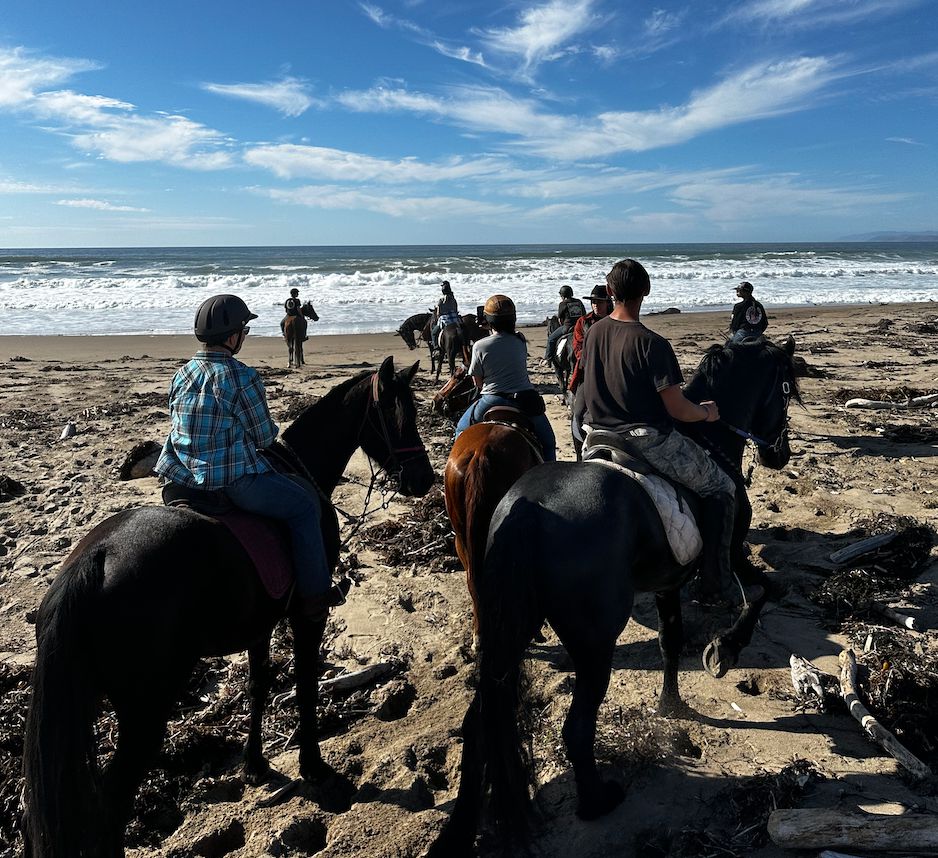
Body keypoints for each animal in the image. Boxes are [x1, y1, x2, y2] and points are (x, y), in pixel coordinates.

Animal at [23, 354, 436, 856]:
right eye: (402, 417)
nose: (424, 479)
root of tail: (95, 558)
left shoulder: (260, 624)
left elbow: (259, 686)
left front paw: (255, 764)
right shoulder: (305, 616)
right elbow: (305, 683)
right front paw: (312, 764)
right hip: (145, 709)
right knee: (112, 804)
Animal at [428, 338, 800, 852]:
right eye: (784, 390)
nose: (780, 455)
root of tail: (526, 510)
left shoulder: (667, 580)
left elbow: (669, 639)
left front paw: (671, 704)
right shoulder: (731, 550)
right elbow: (763, 590)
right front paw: (724, 649)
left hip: (511, 628)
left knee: (480, 723)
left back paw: (460, 831)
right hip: (593, 645)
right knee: (576, 730)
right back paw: (597, 801)